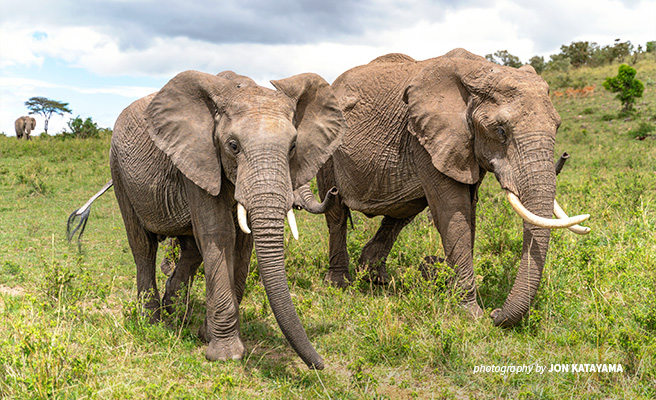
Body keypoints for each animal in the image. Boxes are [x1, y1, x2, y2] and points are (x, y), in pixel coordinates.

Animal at [69, 69, 346, 368]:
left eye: (293, 146)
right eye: (233, 146)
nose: (320, 364)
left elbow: (242, 243)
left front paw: (206, 334)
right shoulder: (198, 156)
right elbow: (219, 234)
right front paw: (226, 354)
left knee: (191, 250)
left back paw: (176, 310)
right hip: (118, 170)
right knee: (143, 247)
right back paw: (152, 322)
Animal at [304, 48, 592, 326]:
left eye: (557, 126)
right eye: (500, 131)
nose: (496, 313)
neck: (481, 72)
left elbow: (468, 214)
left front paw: (453, 294)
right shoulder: (426, 137)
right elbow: (453, 212)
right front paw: (471, 315)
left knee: (402, 213)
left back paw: (377, 278)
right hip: (327, 148)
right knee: (337, 214)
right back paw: (340, 283)